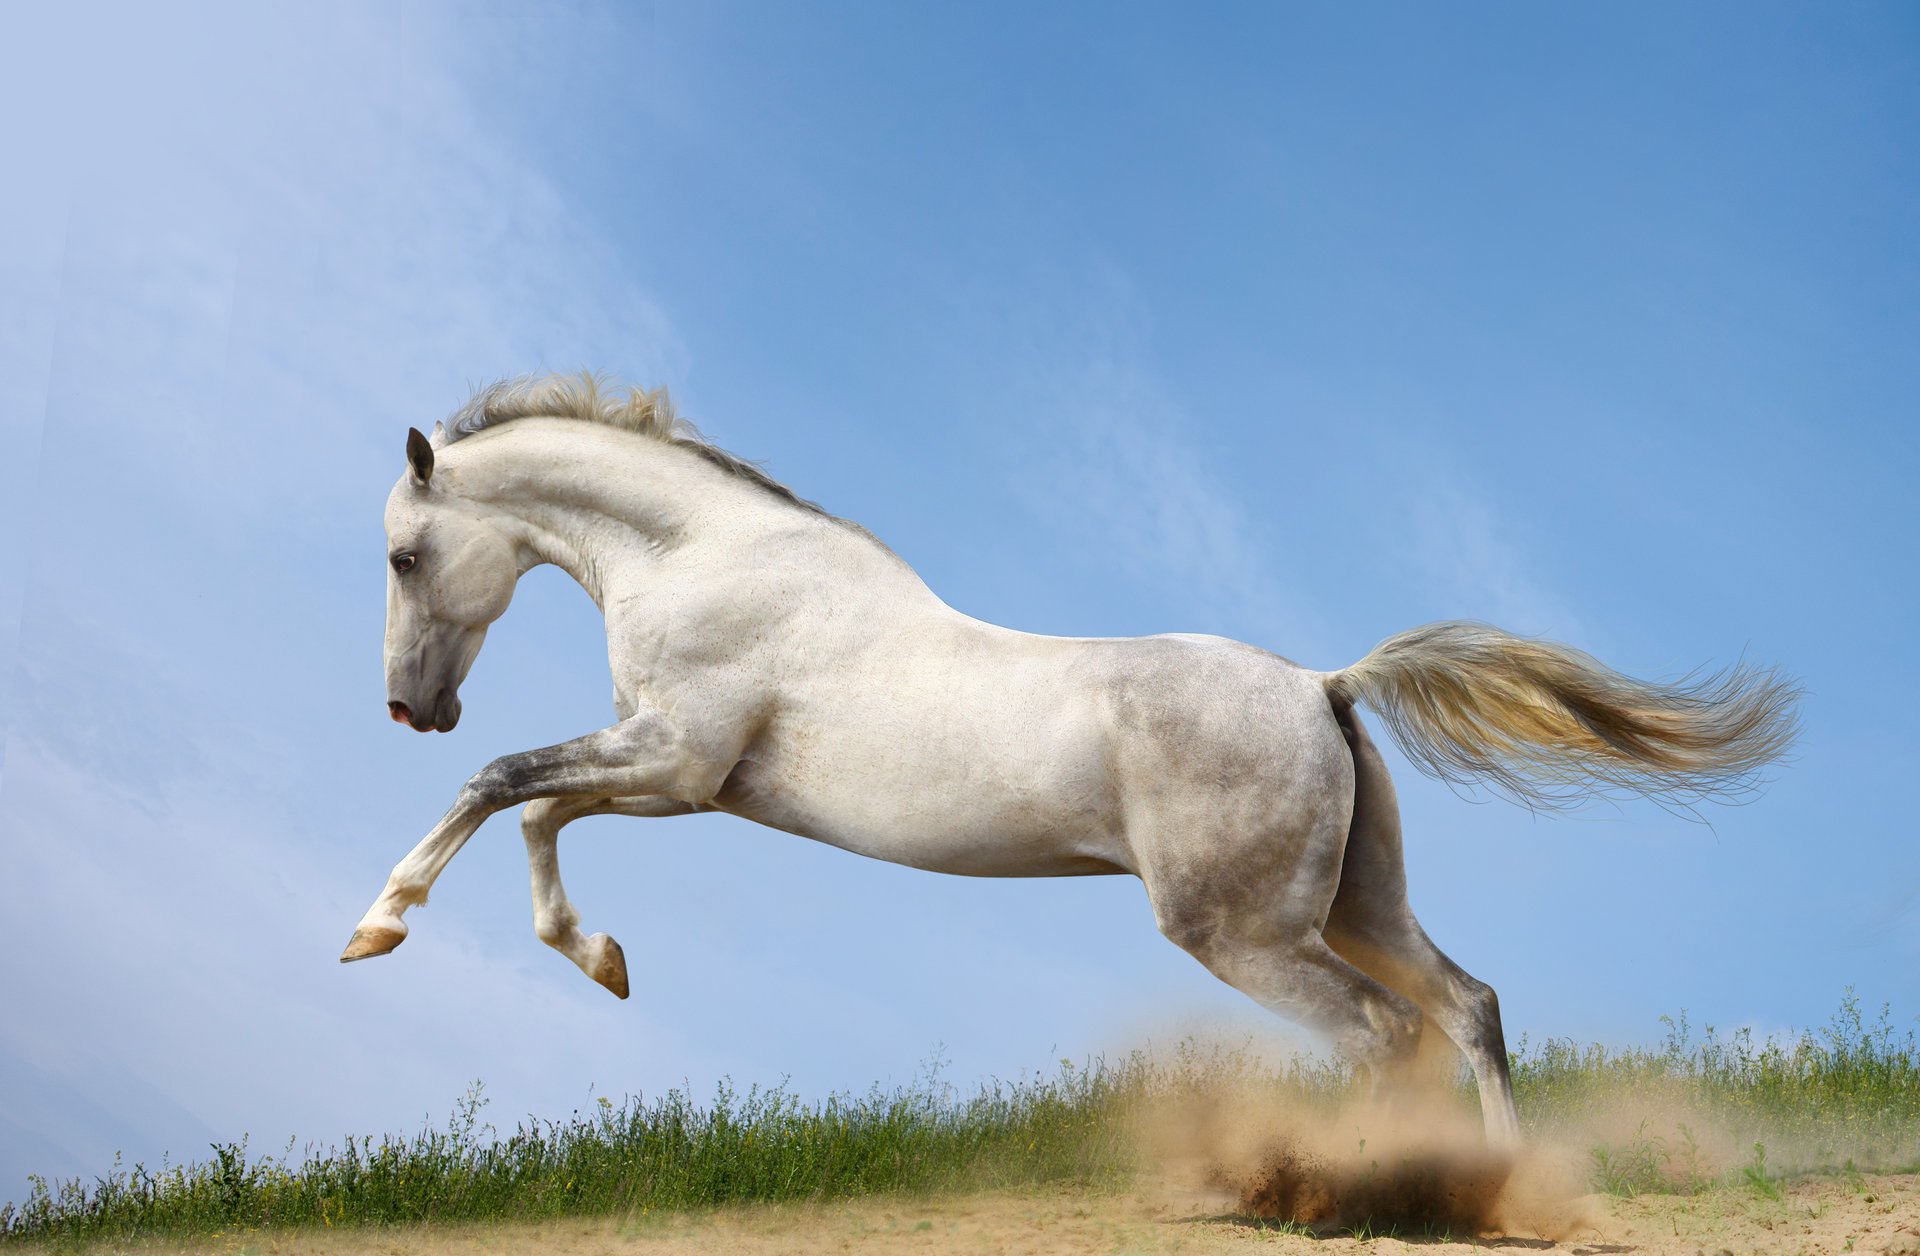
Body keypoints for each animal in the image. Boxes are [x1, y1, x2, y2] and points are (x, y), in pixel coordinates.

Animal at [344, 373, 1799, 1149]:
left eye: (405, 554)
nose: (412, 707)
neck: (708, 561)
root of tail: (1324, 686)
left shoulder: (675, 761)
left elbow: (501, 787)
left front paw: (377, 928)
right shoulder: (677, 780)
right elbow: (536, 815)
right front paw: (602, 961)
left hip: (1244, 932)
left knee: (1384, 1035)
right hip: (1356, 904)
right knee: (1468, 1008)